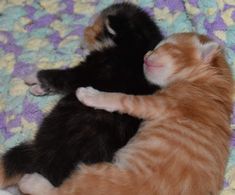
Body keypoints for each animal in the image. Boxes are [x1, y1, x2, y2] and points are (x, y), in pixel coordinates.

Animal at [0, 2, 162, 187]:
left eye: (95, 27)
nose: (84, 30)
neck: (136, 48)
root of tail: (41, 162)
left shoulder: (88, 72)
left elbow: (59, 77)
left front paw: (32, 78)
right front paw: (39, 88)